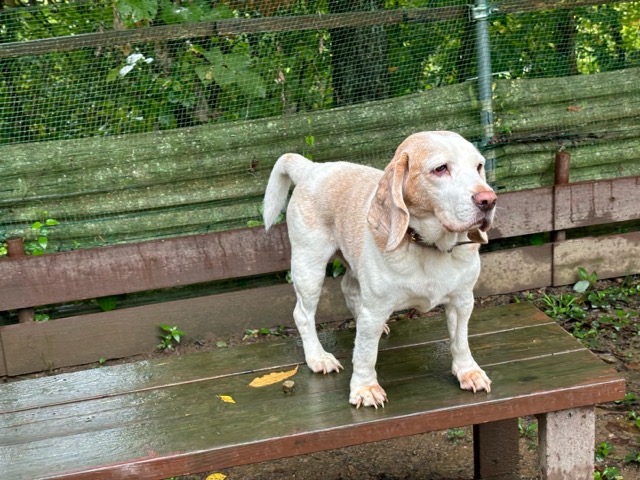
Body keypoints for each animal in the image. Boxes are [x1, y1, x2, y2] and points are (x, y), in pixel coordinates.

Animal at [263, 131, 496, 408]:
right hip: (309, 266)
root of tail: (312, 167)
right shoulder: (374, 309)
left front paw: (468, 372)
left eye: (479, 166)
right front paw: (365, 389)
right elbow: (365, 353)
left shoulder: (462, 301)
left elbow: (460, 341)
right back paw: (318, 358)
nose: (489, 200)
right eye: (440, 168)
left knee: (348, 289)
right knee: (302, 314)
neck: (427, 246)